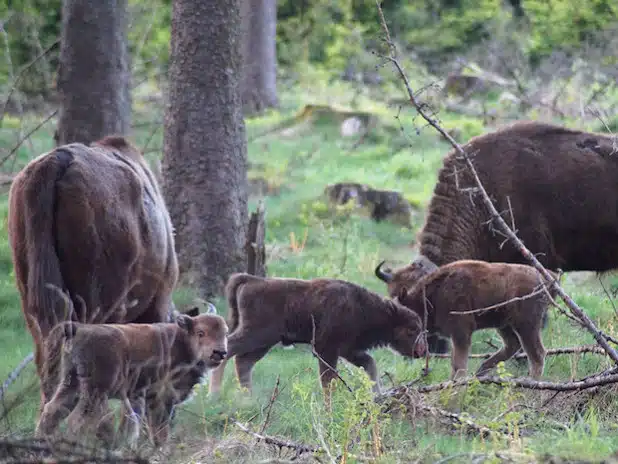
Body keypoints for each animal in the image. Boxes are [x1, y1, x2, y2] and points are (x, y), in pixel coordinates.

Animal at [34, 310, 226, 448]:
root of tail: (78, 328)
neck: (182, 340)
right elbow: (159, 425)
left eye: (224, 333)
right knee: (77, 419)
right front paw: (161, 447)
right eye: (201, 332)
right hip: (95, 391)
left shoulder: (138, 397)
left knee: (53, 409)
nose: (219, 352)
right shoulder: (161, 397)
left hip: (72, 383)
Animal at [209, 272, 426, 402]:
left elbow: (369, 364)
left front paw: (377, 395)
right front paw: (329, 406)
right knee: (230, 351)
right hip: (257, 334)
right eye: (411, 330)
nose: (421, 351)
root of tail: (252, 279)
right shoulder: (326, 349)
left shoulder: (348, 350)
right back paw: (215, 393)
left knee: (243, 361)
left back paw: (248, 397)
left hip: (263, 342)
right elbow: (328, 380)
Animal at [394, 260, 560, 378]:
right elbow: (455, 363)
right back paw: (481, 371)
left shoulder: (461, 332)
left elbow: (459, 364)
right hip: (504, 325)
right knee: (513, 345)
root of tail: (545, 278)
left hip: (526, 324)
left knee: (537, 354)